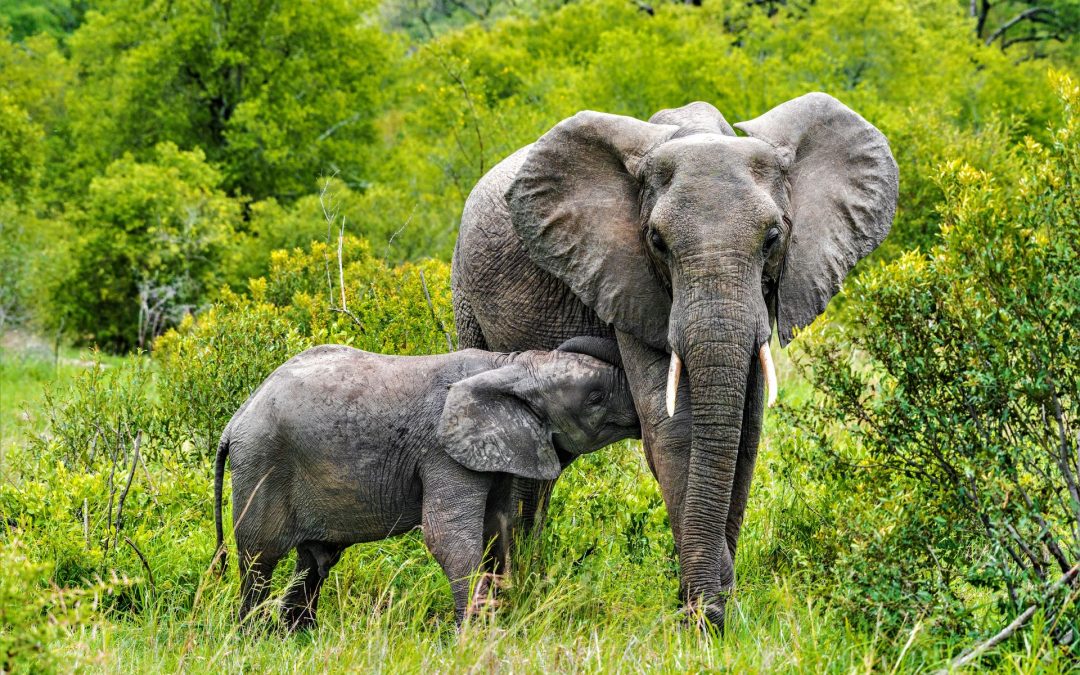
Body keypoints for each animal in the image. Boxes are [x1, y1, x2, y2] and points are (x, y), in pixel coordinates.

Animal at [213, 338, 639, 628]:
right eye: (596, 397)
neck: (506, 366)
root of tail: (235, 421)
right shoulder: (442, 452)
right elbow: (448, 538)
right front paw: (472, 637)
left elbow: (500, 529)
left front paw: (497, 621)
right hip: (261, 463)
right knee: (259, 559)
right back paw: (254, 635)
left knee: (314, 562)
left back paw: (297, 634)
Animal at [451, 93, 898, 627]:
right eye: (657, 242)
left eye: (772, 238)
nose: (710, 606)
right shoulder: (625, 278)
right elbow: (674, 430)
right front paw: (703, 617)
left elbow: (744, 434)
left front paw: (713, 608)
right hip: (466, 296)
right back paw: (508, 599)